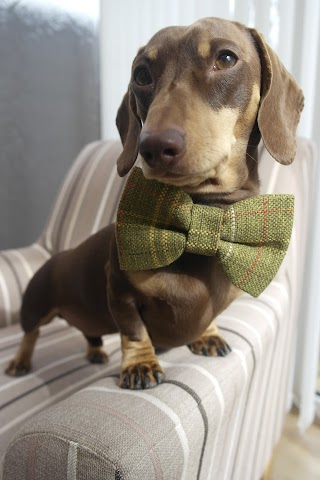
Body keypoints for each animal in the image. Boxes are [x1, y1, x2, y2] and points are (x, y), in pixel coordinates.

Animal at [6, 17, 304, 390]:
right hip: (35, 305)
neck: (202, 209)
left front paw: (207, 334)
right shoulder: (119, 292)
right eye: (141, 74)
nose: (154, 147)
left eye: (226, 58)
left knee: (90, 334)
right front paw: (140, 364)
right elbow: (133, 331)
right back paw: (20, 360)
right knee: (30, 334)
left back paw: (95, 352)